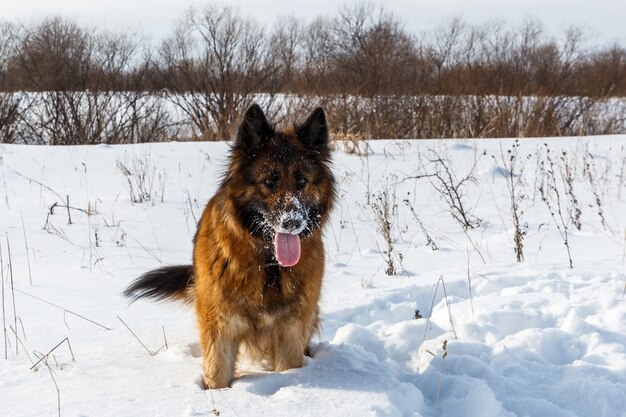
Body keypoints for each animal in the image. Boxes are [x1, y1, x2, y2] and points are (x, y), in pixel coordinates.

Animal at [123, 103, 334, 386]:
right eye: (269, 181)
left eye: (302, 182)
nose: (293, 222)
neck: (267, 265)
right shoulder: (219, 329)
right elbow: (217, 376)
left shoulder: (290, 331)